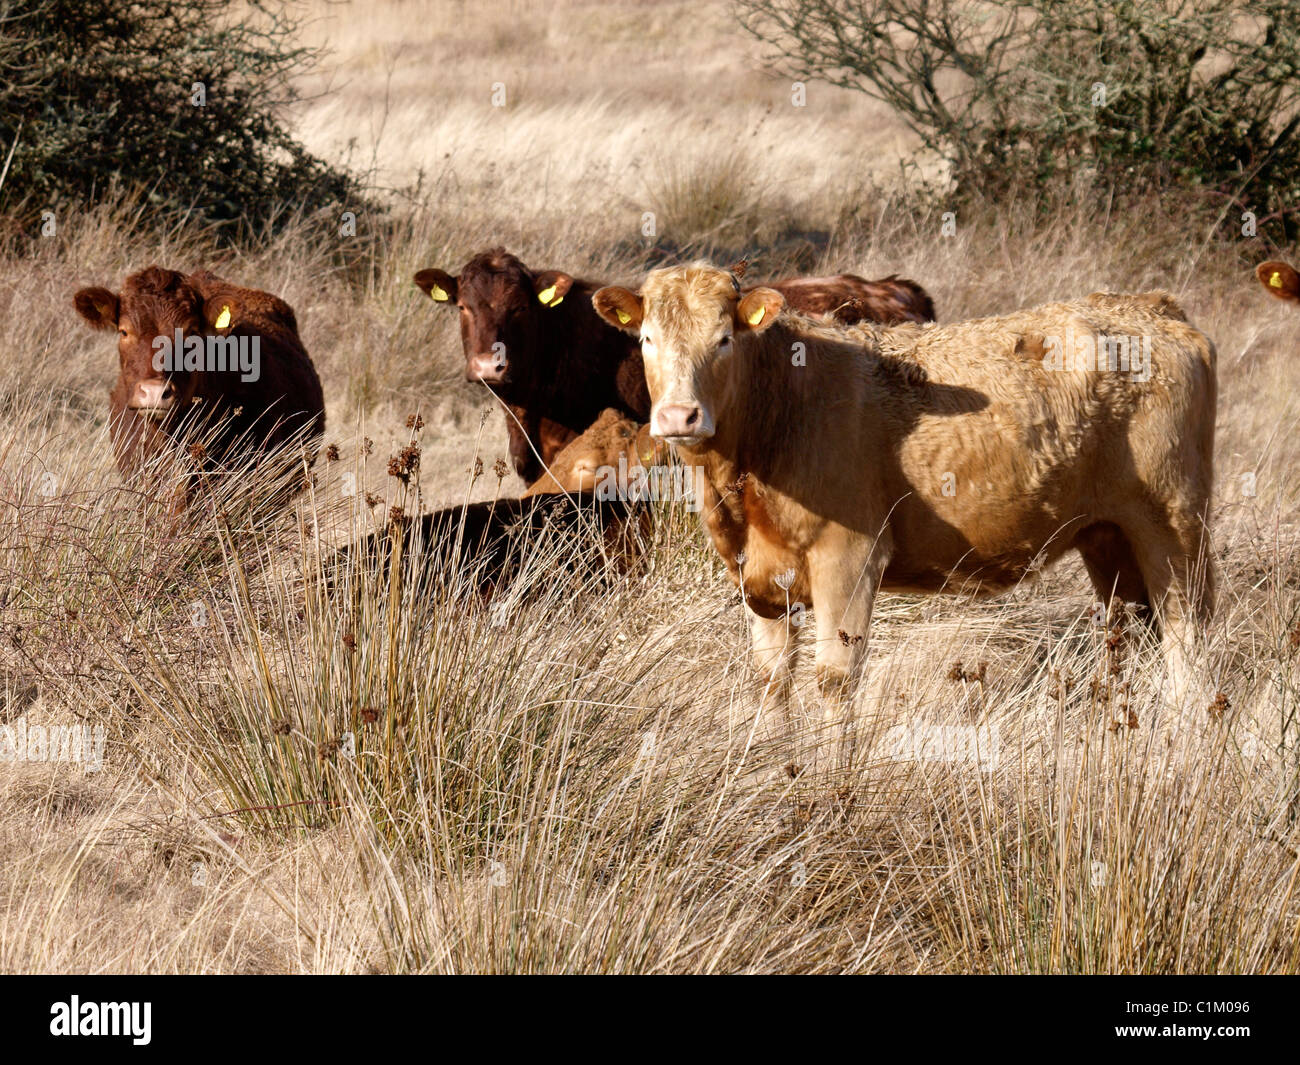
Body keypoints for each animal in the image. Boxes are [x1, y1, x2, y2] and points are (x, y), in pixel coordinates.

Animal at [595, 262, 1216, 728]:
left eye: (723, 340)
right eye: (647, 339)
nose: (679, 416)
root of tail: (1153, 306)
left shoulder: (849, 557)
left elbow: (835, 679)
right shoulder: (760, 578)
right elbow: (772, 682)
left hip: (1175, 527)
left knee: (1188, 643)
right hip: (1108, 536)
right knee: (1134, 636)